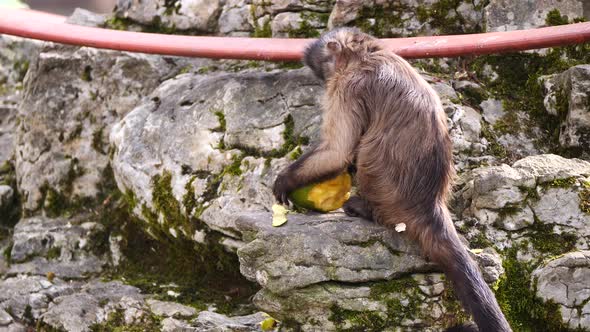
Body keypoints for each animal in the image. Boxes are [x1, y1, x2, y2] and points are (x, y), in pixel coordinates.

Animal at [276, 27, 512, 332]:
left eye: (325, 71)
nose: (324, 80)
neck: (368, 54)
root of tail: (429, 206)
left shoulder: (349, 85)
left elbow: (337, 152)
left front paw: (285, 181)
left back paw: (363, 209)